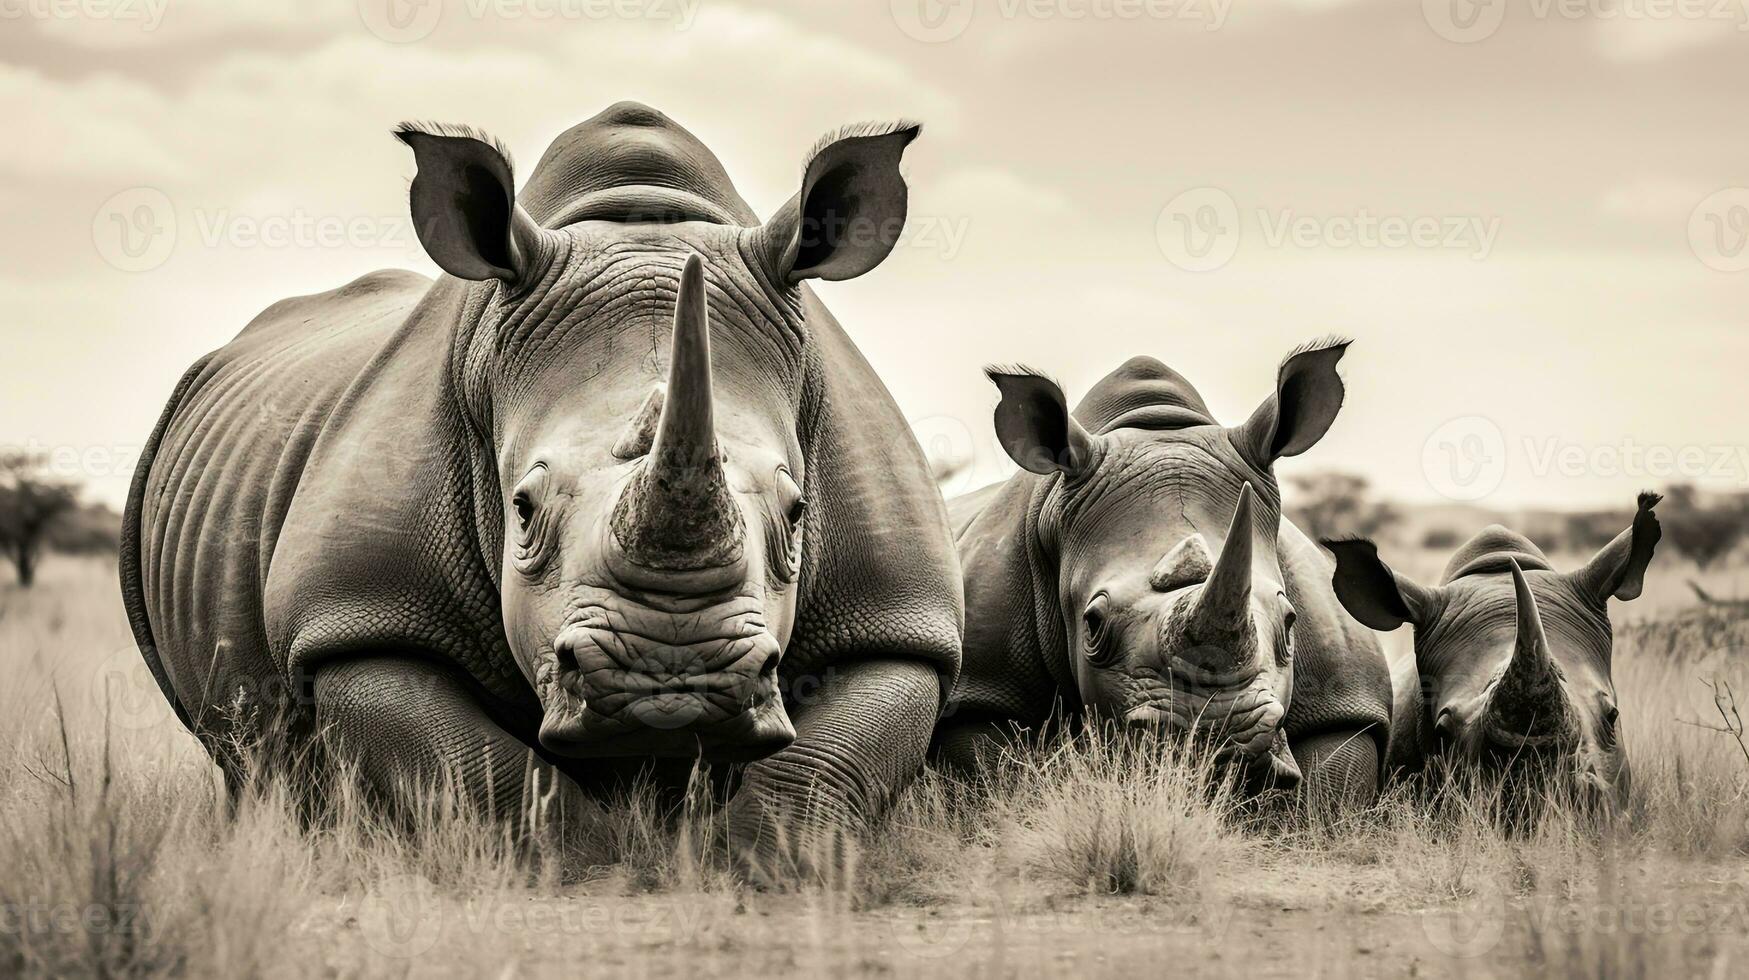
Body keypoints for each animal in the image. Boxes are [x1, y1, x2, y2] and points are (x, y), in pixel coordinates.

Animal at [119, 103, 958, 868]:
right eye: (521, 509)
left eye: (797, 510)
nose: (672, 677)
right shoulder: (352, 614)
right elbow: (472, 768)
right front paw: (583, 860)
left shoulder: (905, 616)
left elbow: (824, 766)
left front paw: (755, 864)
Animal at [937, 344, 1399, 805]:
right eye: (1092, 624)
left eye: (1290, 622)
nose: (1216, 742)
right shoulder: (982, 692)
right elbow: (996, 780)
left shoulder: (1344, 704)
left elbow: (1330, 793)